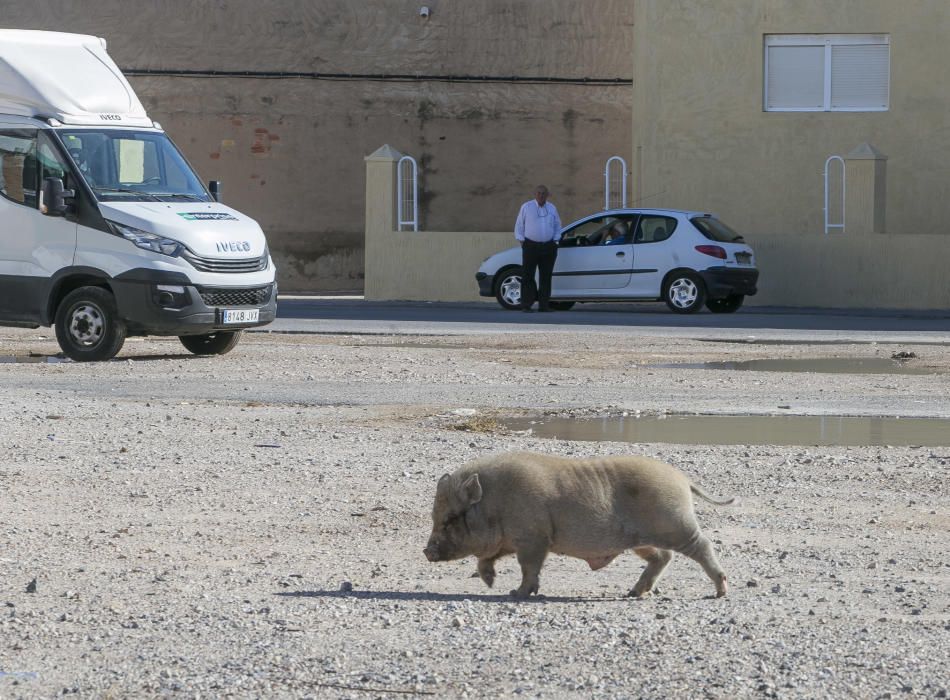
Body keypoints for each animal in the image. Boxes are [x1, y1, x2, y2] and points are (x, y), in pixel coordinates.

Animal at [424, 454, 736, 596]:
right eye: (434, 517)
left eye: (450, 518)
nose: (427, 551)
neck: (495, 503)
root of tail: (682, 479)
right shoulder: (507, 542)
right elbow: (484, 560)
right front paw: (491, 583)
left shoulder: (533, 539)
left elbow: (529, 567)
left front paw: (516, 593)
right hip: (643, 540)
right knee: (662, 557)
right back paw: (633, 593)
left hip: (677, 525)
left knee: (702, 545)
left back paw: (720, 591)